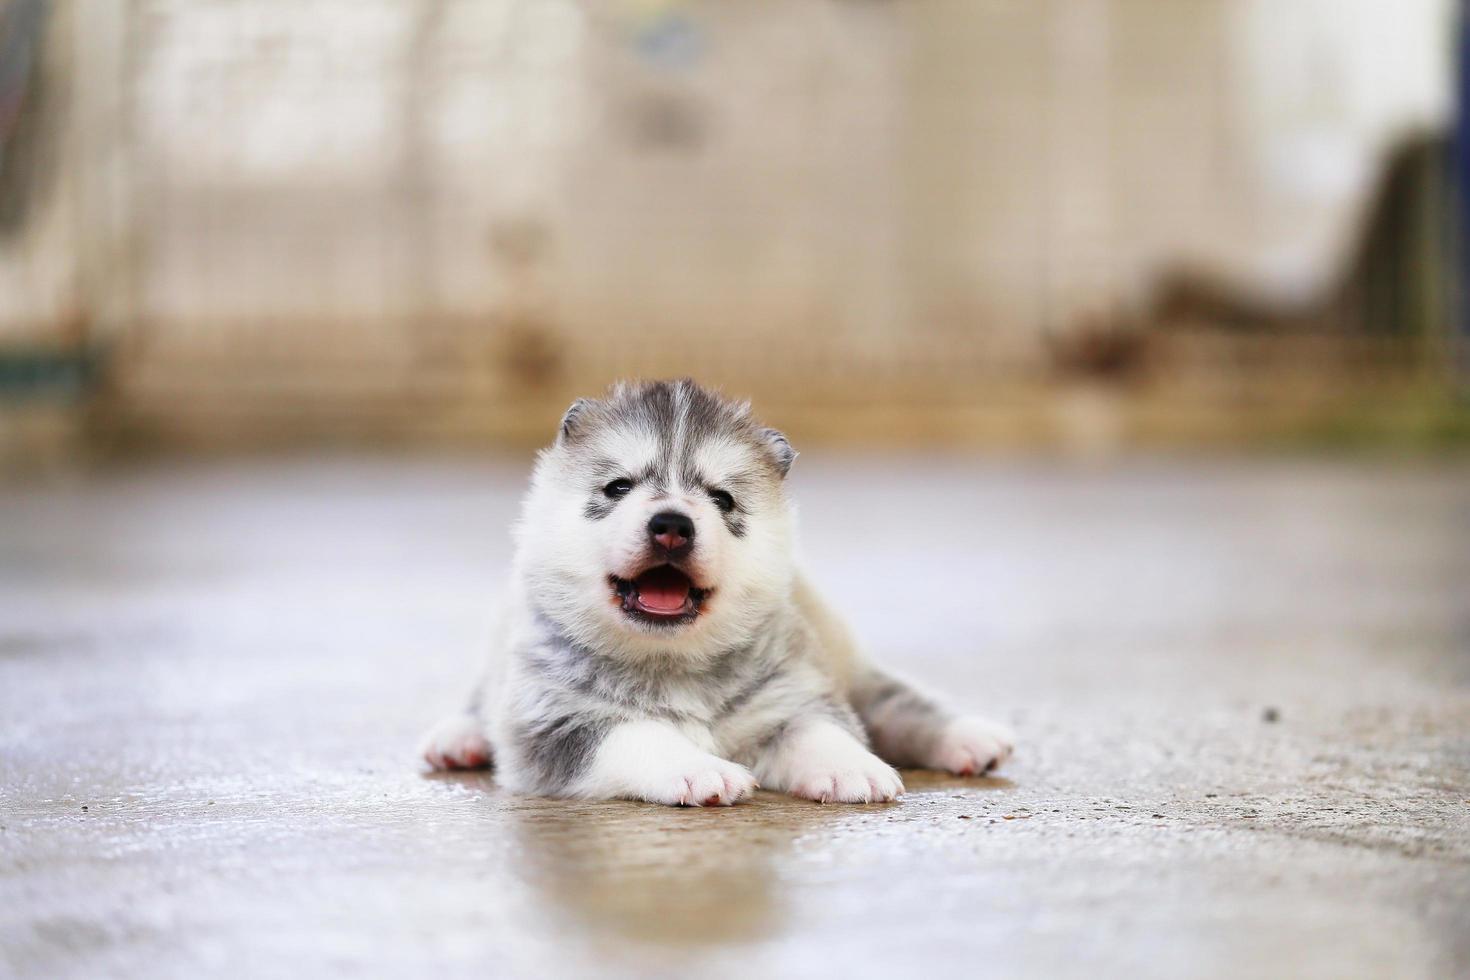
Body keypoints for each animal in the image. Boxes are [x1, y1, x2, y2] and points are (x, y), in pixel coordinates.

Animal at [420, 382, 1017, 805]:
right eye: (618, 487)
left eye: (723, 499)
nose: (671, 525)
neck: (670, 661)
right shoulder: (553, 724)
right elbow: (638, 733)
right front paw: (698, 769)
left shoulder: (791, 695)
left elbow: (818, 730)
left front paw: (853, 766)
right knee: (480, 698)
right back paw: (460, 739)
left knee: (893, 701)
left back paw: (970, 738)